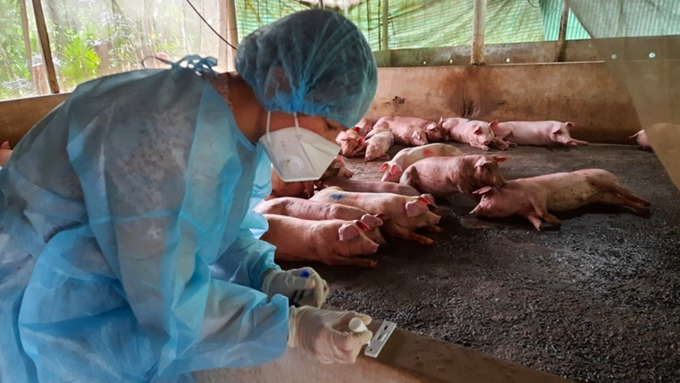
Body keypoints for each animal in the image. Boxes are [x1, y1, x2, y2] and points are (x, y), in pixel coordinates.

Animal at [312, 188, 440, 246]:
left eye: (427, 209)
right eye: (421, 212)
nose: (438, 217)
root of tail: (314, 196)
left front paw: (439, 229)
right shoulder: (391, 226)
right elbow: (407, 233)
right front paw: (430, 241)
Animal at [470, 169, 652, 231]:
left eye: (484, 196)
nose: (472, 211)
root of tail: (610, 173)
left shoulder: (538, 195)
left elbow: (542, 211)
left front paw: (557, 223)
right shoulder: (526, 211)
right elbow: (533, 217)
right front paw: (540, 228)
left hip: (606, 181)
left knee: (627, 192)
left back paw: (647, 203)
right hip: (606, 198)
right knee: (623, 200)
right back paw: (645, 210)